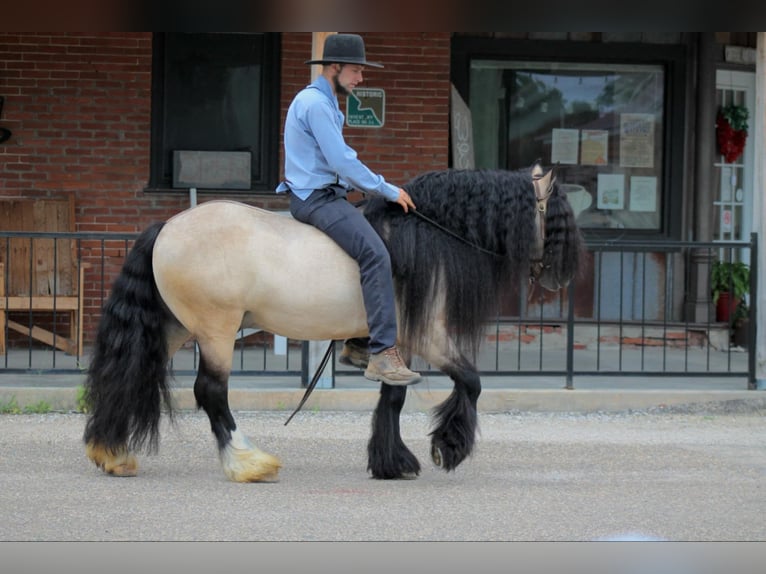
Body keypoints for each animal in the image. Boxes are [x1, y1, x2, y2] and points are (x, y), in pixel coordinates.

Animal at [84, 164, 584, 484]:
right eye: (556, 220)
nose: (562, 279)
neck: (428, 231)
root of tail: (167, 228)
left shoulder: (397, 346)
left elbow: (394, 397)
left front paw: (391, 462)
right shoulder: (429, 337)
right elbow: (472, 382)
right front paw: (448, 446)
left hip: (174, 327)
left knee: (131, 374)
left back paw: (113, 454)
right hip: (216, 330)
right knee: (210, 392)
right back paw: (248, 463)